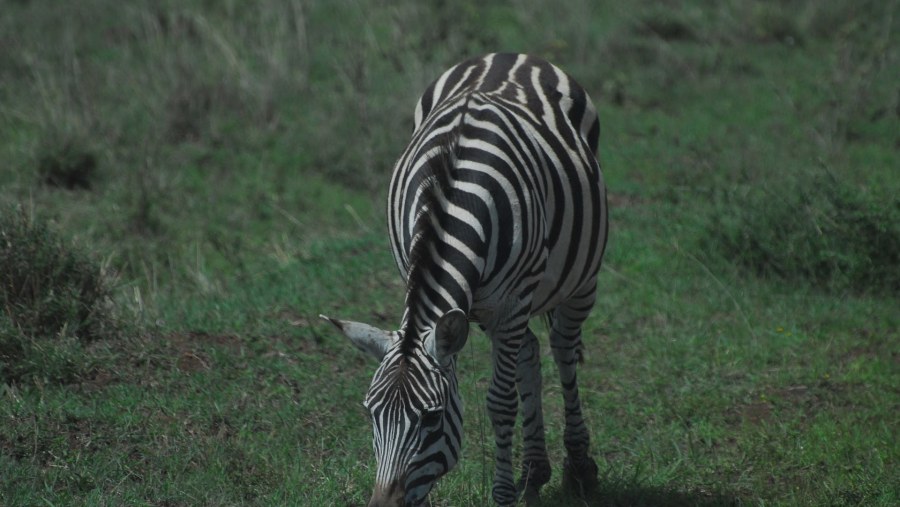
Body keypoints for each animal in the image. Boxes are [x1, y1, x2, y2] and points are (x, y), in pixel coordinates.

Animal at [320, 52, 608, 507]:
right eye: (370, 413)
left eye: (433, 419)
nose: (384, 505)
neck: (451, 197)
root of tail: (510, 54)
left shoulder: (512, 302)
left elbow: (501, 403)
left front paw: (503, 494)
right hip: (493, 307)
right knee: (529, 351)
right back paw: (534, 471)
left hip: (578, 280)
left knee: (563, 349)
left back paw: (579, 466)